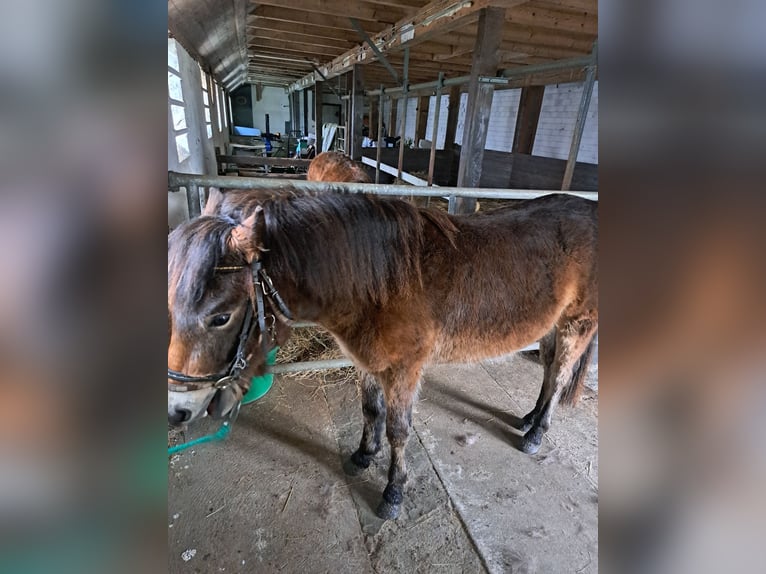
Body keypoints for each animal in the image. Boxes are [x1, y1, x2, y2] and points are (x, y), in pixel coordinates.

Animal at [168, 184, 600, 520]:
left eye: (221, 317)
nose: (178, 410)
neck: (380, 282)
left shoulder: (404, 370)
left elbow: (397, 430)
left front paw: (393, 492)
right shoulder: (369, 362)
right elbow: (370, 411)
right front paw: (363, 455)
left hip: (576, 325)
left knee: (560, 376)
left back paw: (536, 433)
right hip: (552, 326)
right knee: (549, 370)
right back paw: (528, 418)